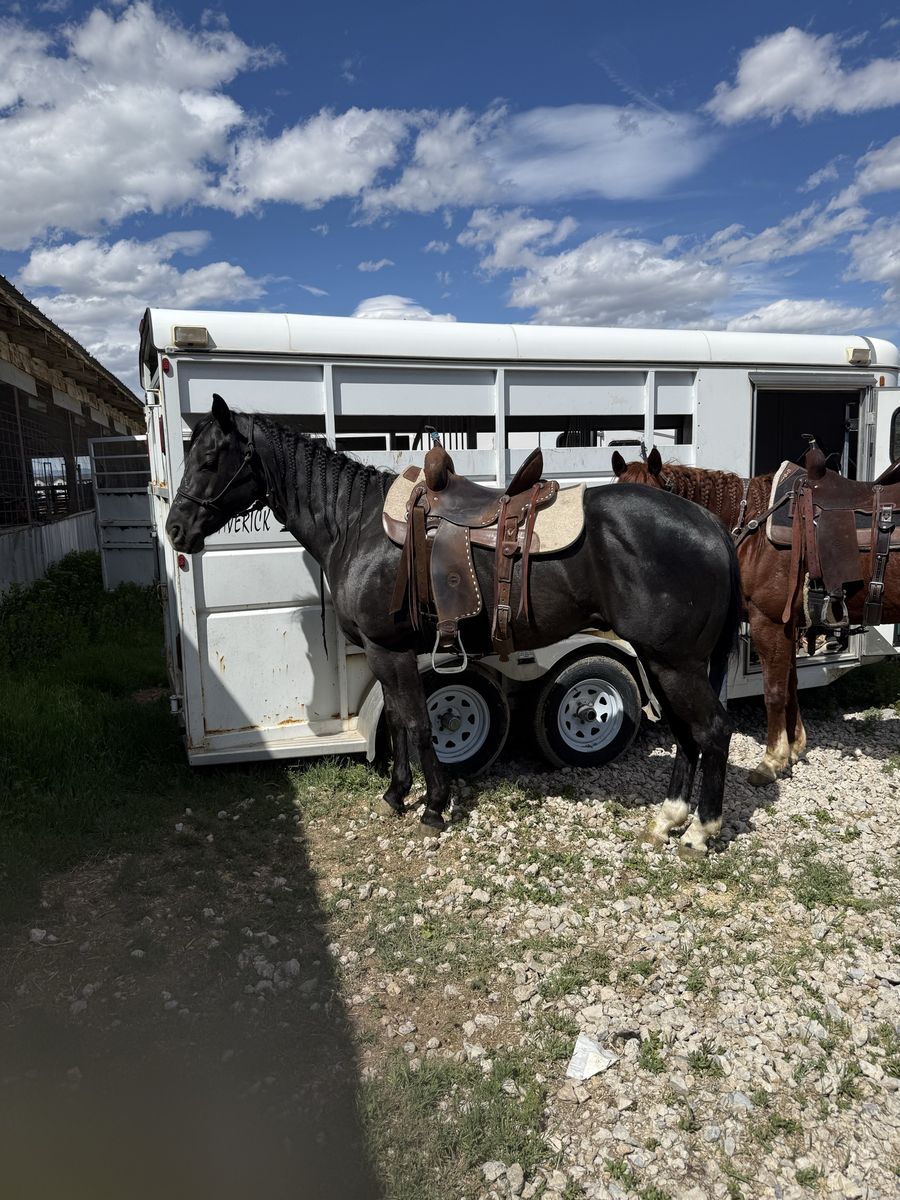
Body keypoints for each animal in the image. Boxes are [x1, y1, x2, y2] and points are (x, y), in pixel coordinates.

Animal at [166, 395, 742, 855]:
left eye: (210, 459)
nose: (175, 530)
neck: (355, 524)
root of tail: (709, 525)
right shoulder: (387, 652)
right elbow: (401, 723)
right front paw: (397, 794)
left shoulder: (388, 648)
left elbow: (417, 723)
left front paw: (432, 807)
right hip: (662, 660)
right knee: (688, 734)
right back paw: (668, 818)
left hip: (674, 662)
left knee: (713, 730)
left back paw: (700, 831)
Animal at [612, 446, 900, 786]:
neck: (753, 531)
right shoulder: (789, 625)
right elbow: (790, 685)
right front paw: (795, 748)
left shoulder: (769, 622)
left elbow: (773, 692)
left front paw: (771, 761)